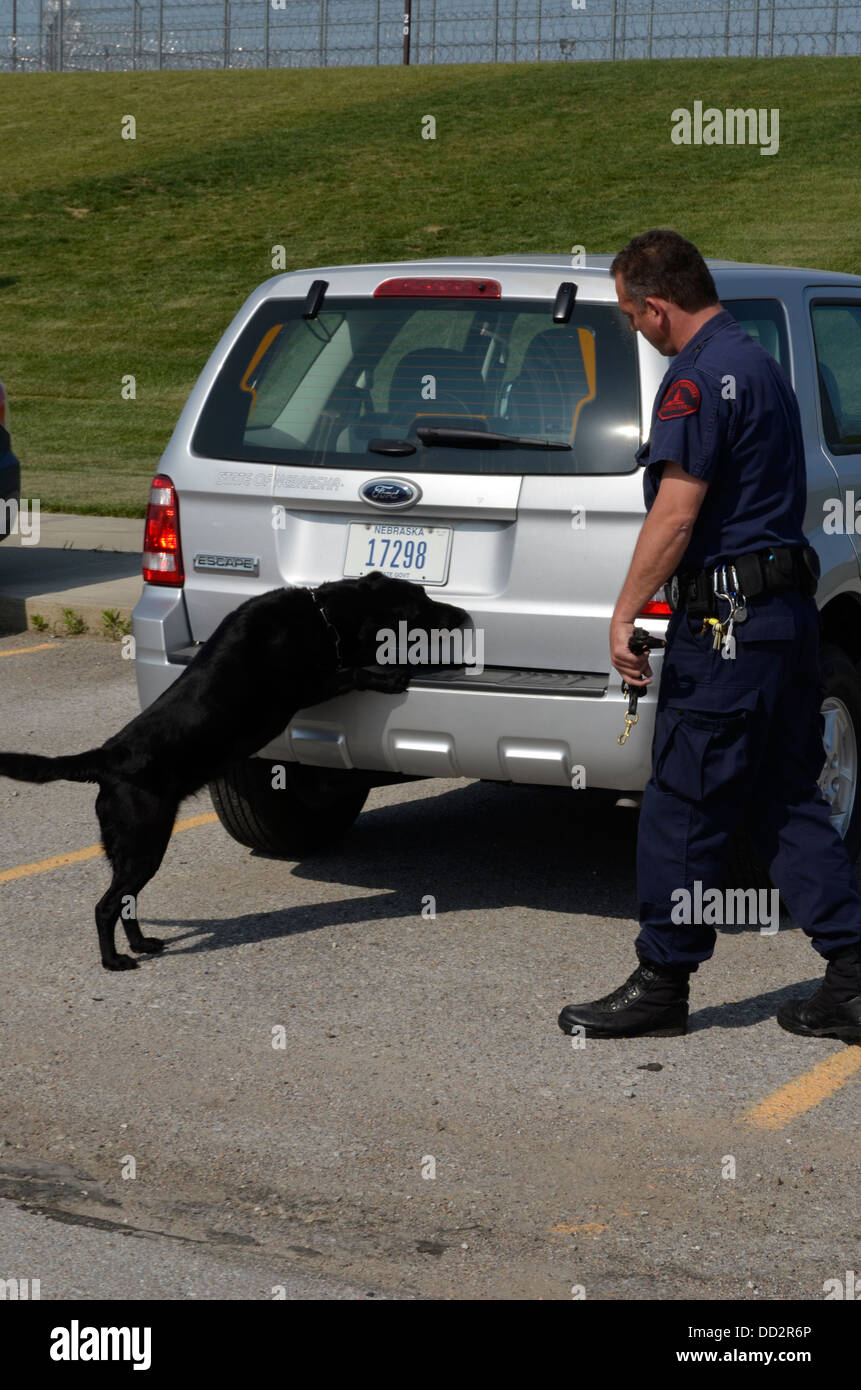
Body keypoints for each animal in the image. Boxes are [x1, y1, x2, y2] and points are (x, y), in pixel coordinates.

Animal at [0, 569, 467, 973]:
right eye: (421, 604)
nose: (463, 615)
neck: (324, 616)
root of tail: (108, 756)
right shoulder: (309, 687)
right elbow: (354, 671)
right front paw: (390, 677)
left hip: (127, 848)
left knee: (126, 902)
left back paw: (141, 943)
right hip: (143, 841)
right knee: (106, 905)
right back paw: (113, 960)